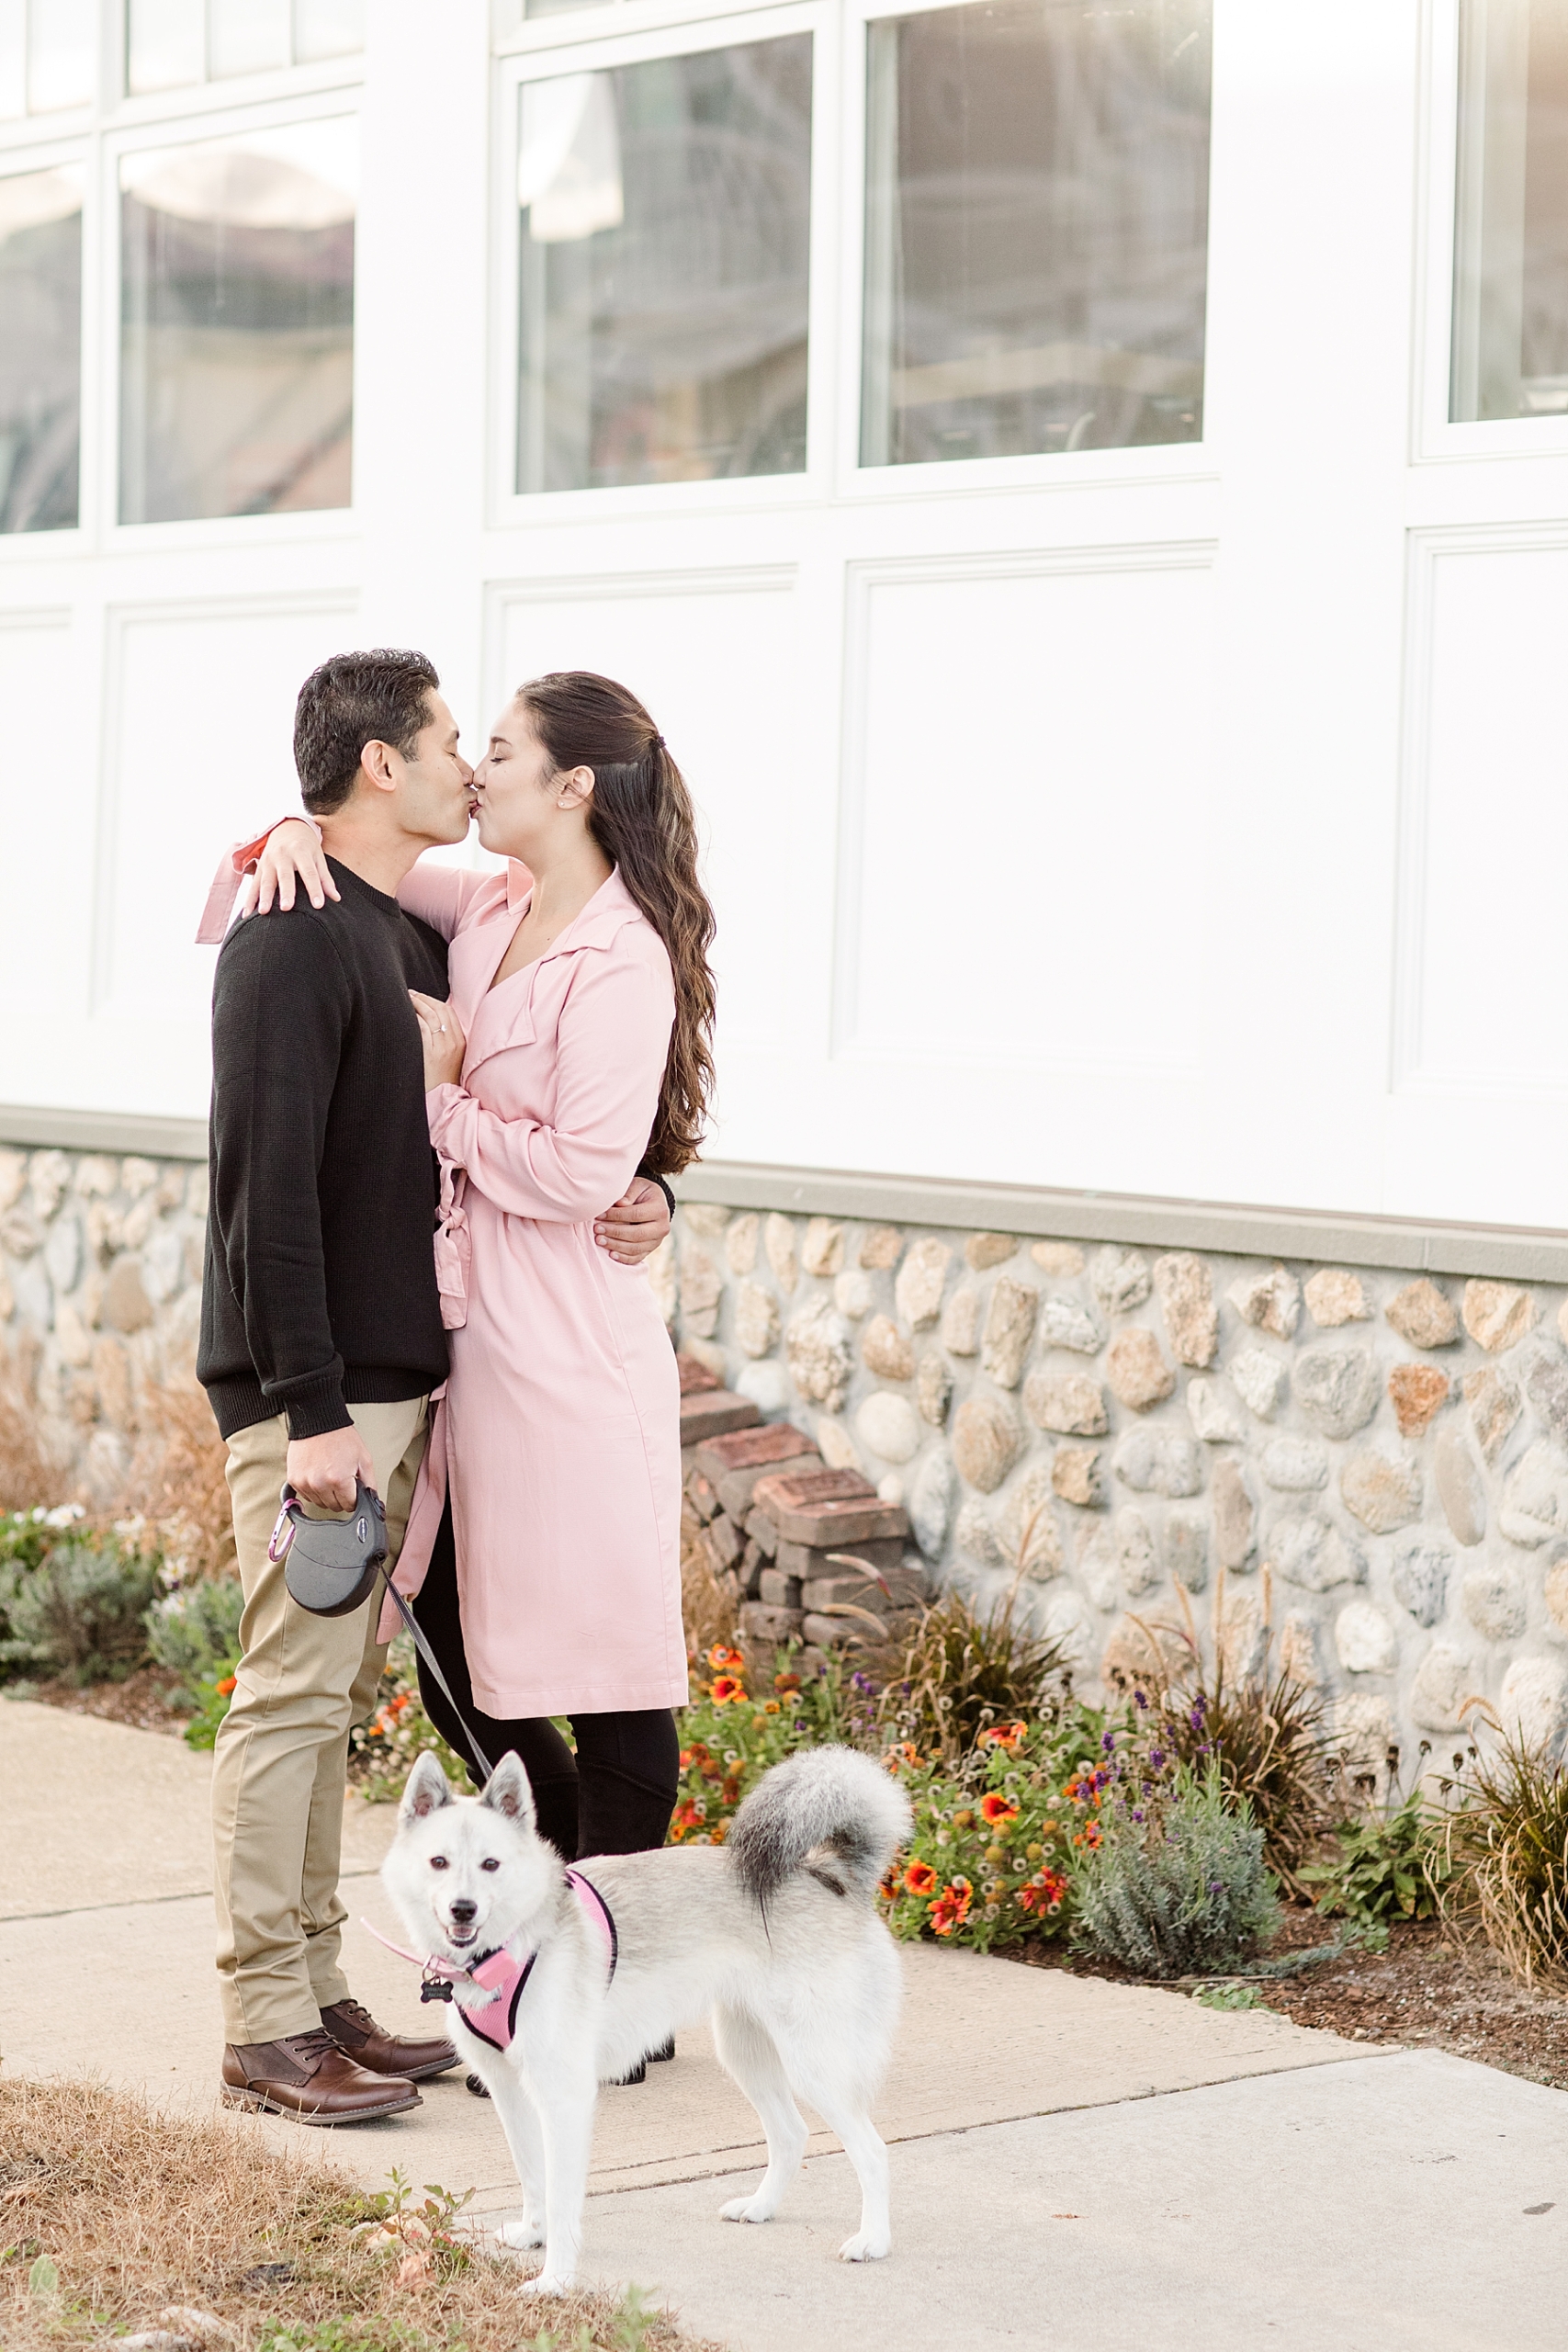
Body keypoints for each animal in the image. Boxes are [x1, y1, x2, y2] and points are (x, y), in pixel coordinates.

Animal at [380, 1740, 911, 2286]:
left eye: (491, 1863)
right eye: (438, 1861)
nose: (463, 1909)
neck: (512, 1945)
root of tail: (829, 1875)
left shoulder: (564, 2098)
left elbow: (561, 2195)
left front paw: (556, 2279)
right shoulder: (510, 2093)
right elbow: (532, 2176)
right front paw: (533, 2234)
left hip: (815, 2067)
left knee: (872, 2152)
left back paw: (873, 2241)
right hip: (747, 2056)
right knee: (791, 2135)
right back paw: (761, 2207)